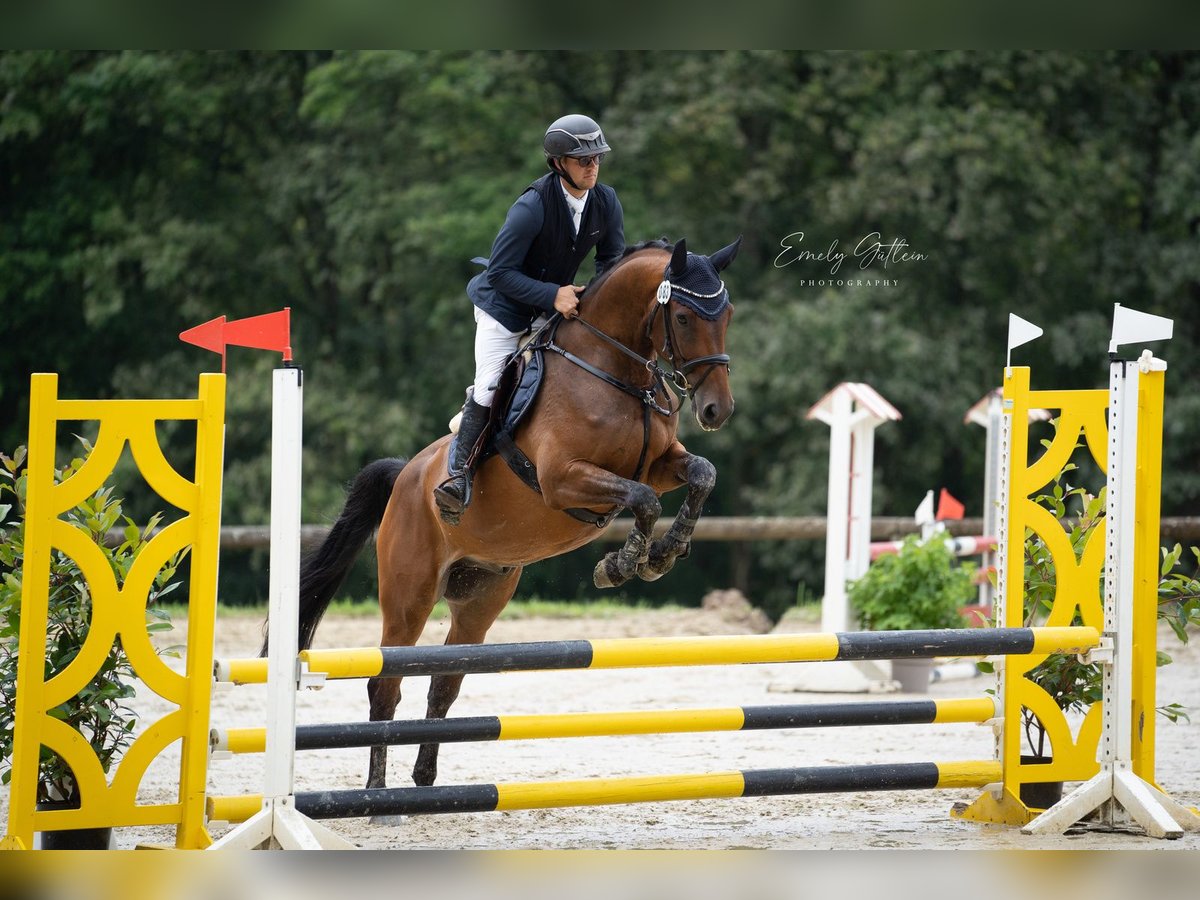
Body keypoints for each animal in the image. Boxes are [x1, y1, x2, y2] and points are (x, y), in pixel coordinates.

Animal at [290, 236, 739, 792]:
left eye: (727, 314)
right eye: (681, 316)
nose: (717, 410)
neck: (617, 373)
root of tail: (405, 477)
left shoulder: (659, 464)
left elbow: (701, 473)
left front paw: (664, 553)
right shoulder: (562, 478)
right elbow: (643, 499)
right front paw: (622, 565)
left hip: (481, 597)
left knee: (444, 681)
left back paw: (425, 780)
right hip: (408, 597)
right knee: (386, 685)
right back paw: (377, 792)